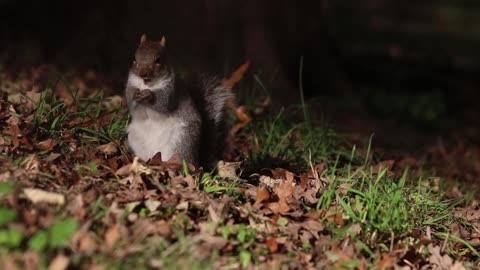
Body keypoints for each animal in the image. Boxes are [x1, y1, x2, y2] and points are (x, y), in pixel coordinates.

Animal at [125, 33, 232, 167]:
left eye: (158, 60)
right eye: (134, 58)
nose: (143, 74)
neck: (148, 85)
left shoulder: (172, 90)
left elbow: (164, 103)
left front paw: (150, 96)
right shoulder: (131, 84)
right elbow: (130, 103)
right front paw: (135, 95)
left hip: (181, 141)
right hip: (135, 138)